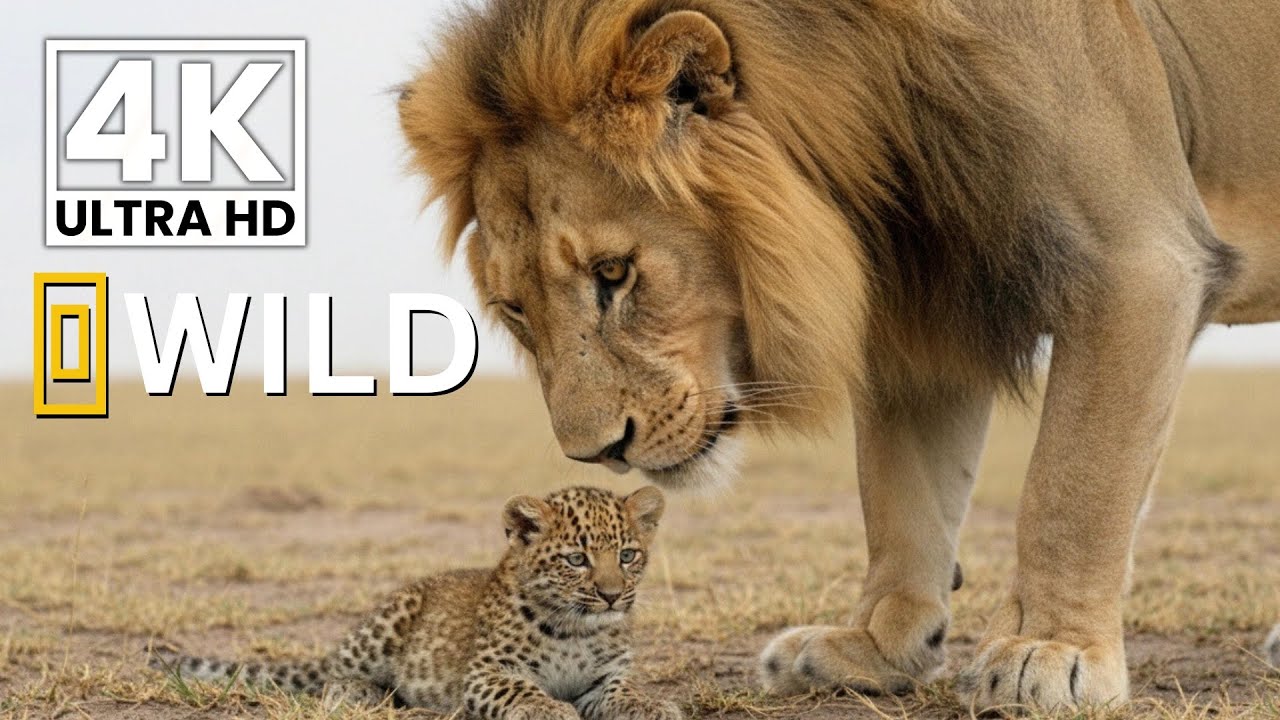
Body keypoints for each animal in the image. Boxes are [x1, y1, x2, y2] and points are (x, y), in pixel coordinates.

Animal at [148, 485, 681, 720]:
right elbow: (522, 690)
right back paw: (367, 695)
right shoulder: (485, 673)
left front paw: (654, 706)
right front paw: (548, 710)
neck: (575, 628)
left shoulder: (603, 677)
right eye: (576, 559)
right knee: (332, 679)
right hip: (386, 626)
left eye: (628, 555)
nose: (612, 595)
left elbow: (625, 691)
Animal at [398, 0, 1280, 710]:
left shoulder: (1137, 261)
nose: (597, 454)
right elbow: (902, 493)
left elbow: (1074, 486)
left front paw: (1052, 649)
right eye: (516, 308)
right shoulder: (925, 298)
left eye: (615, 274)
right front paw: (880, 647)